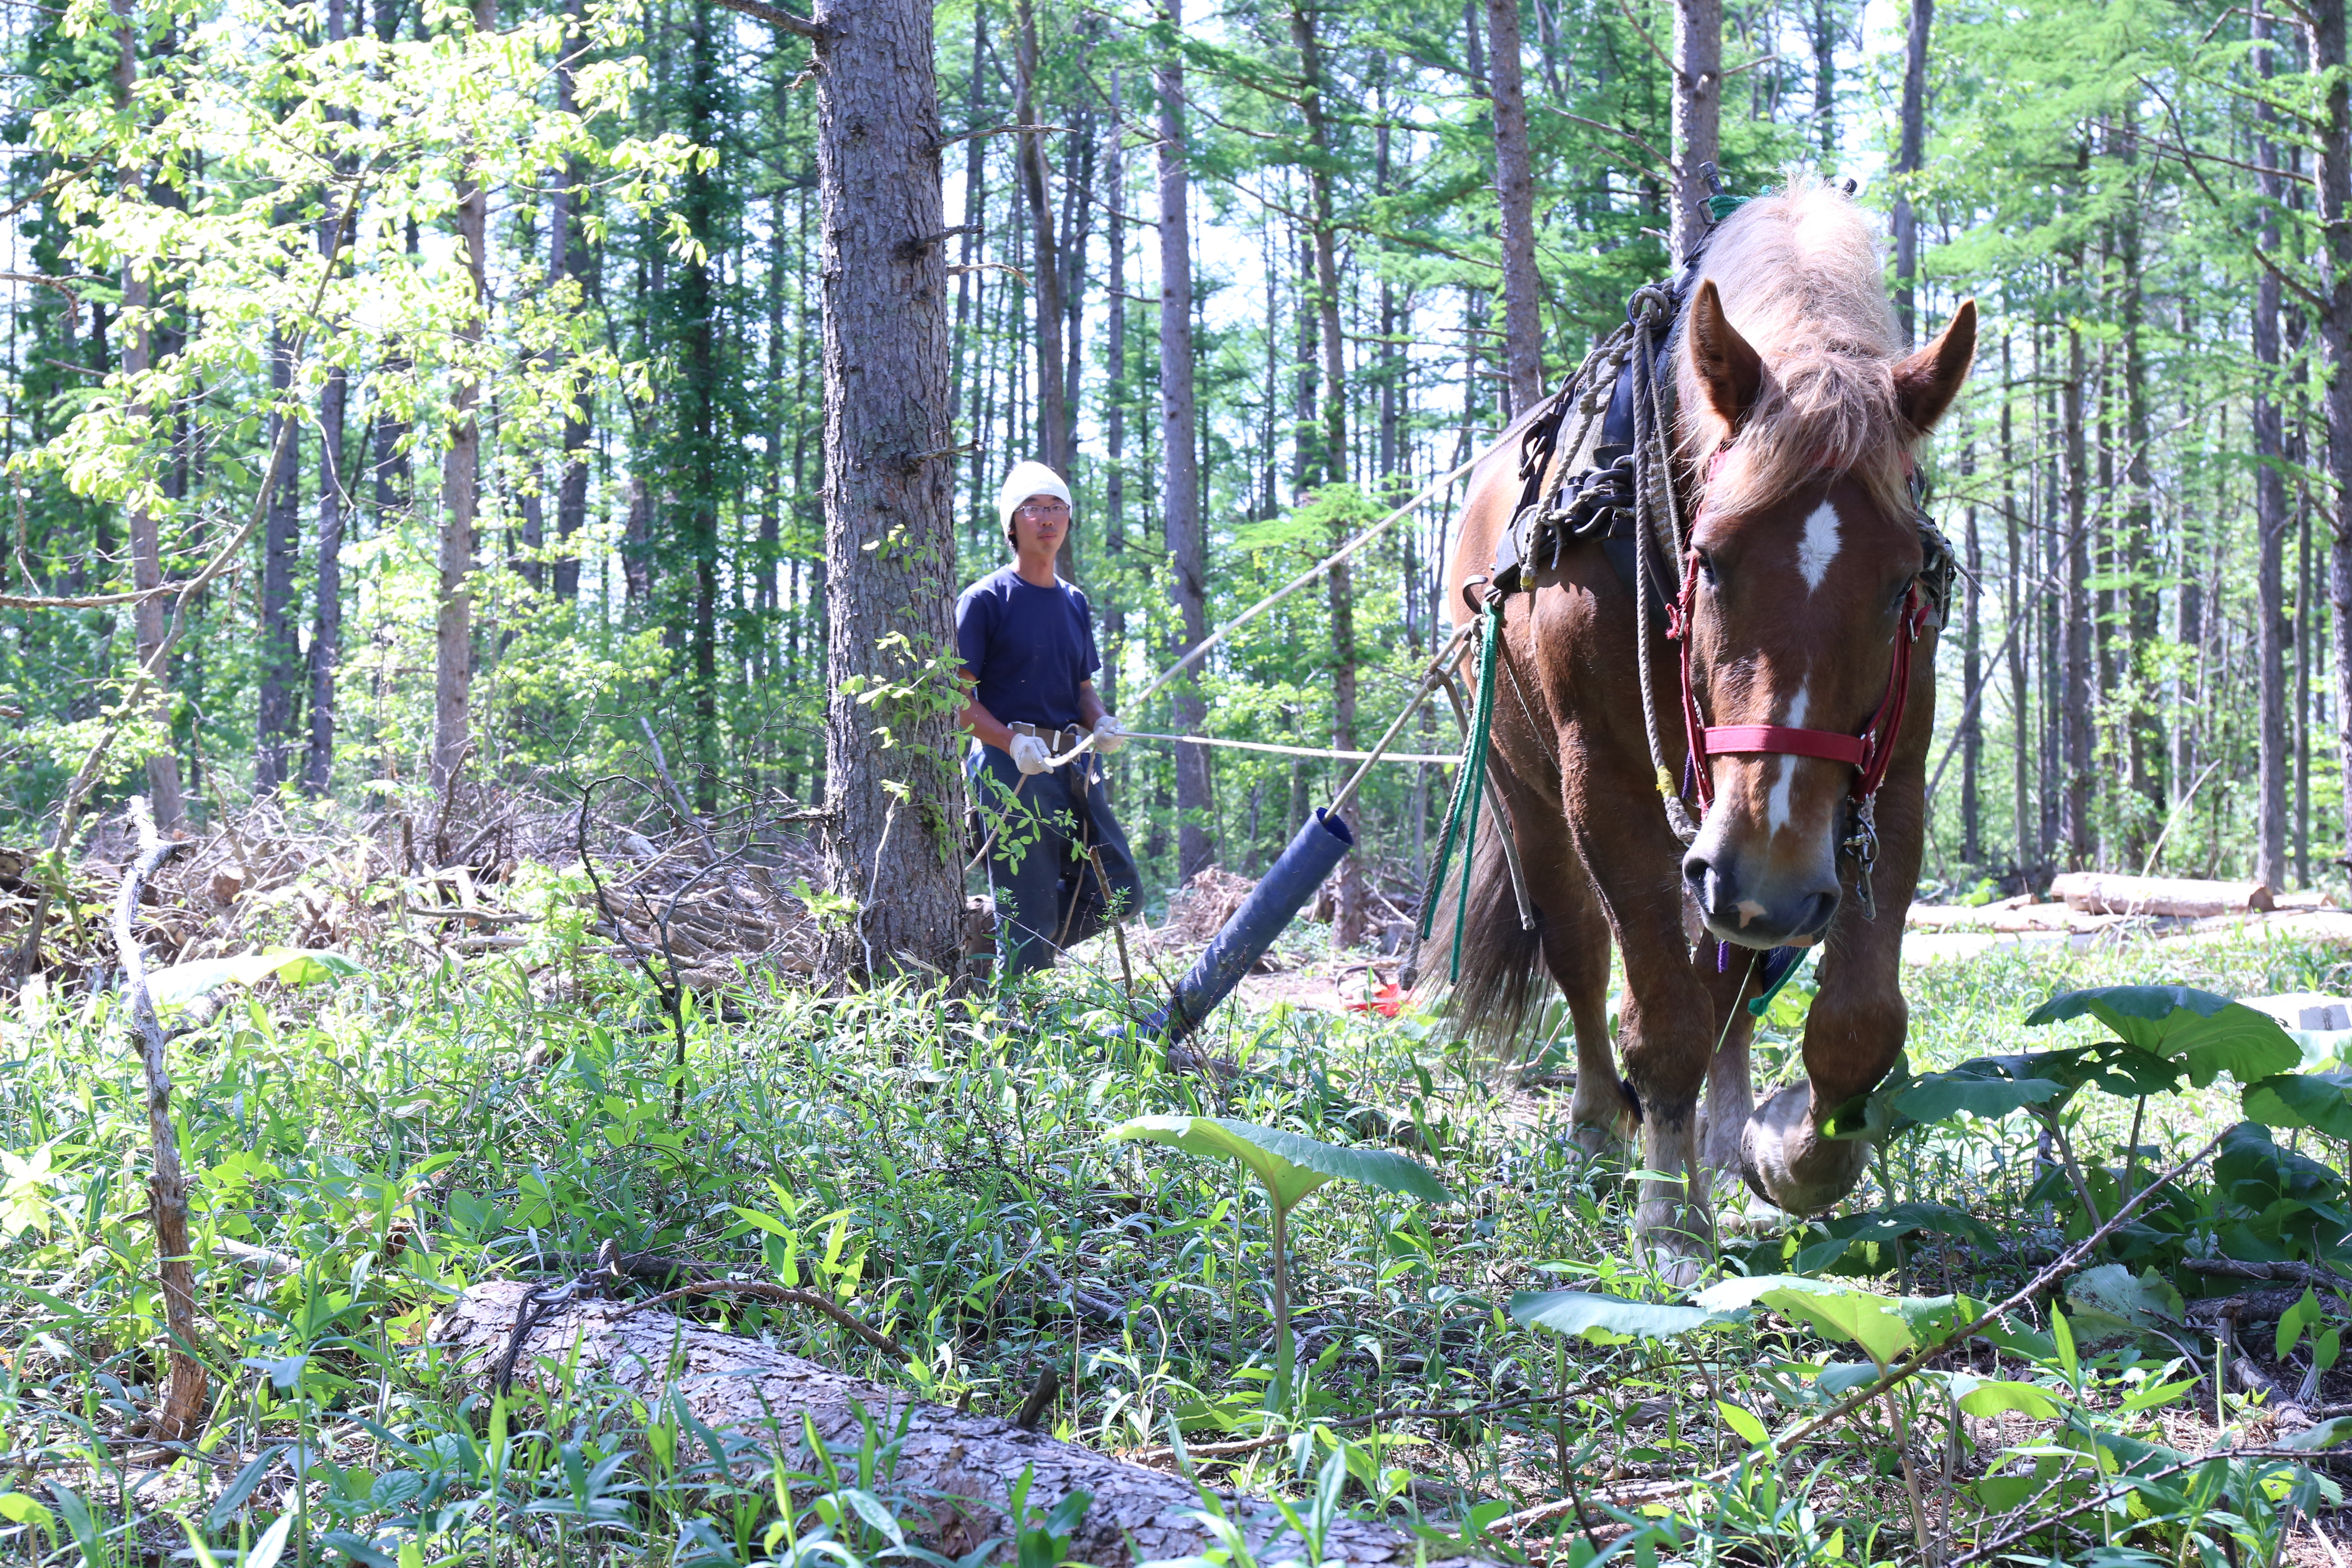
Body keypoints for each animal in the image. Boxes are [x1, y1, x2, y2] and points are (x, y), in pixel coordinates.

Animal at [1430, 190, 1966, 1279]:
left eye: (1900, 584)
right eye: (1710, 560)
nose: (1770, 886)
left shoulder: (1882, 777)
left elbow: (1857, 1021)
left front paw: (1787, 1150)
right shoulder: (1610, 785)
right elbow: (1660, 1010)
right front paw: (1668, 1222)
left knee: (1725, 971)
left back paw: (1714, 1136)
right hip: (1530, 791)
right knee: (1582, 953)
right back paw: (1603, 1130)